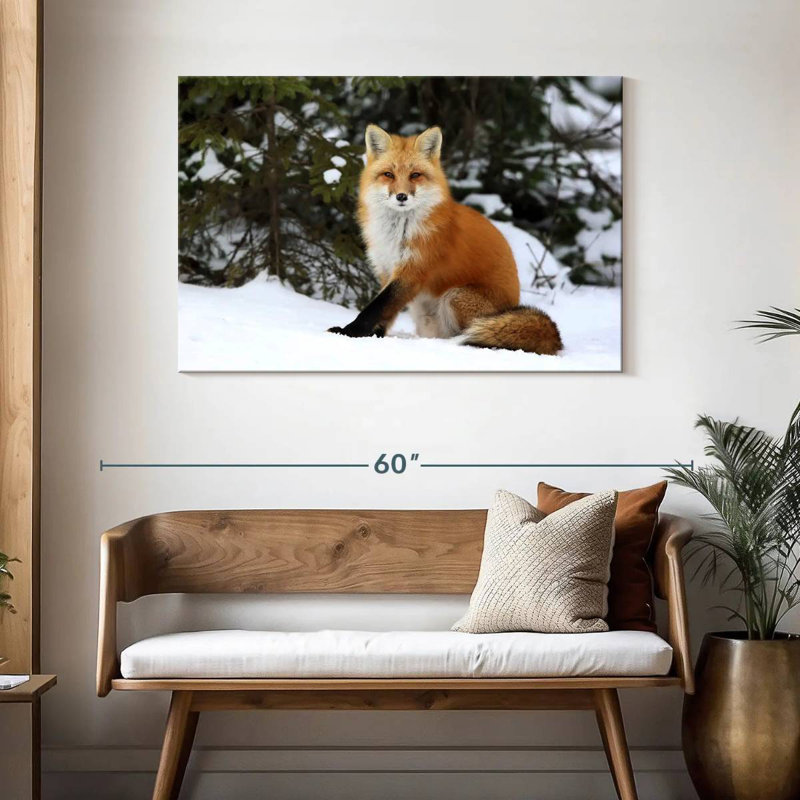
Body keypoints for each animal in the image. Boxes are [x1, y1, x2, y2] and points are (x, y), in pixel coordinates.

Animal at [327, 124, 562, 355]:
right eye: (388, 174)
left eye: (415, 175)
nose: (401, 196)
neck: (398, 231)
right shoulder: (386, 269)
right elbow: (386, 310)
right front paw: (374, 336)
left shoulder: (413, 270)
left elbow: (375, 308)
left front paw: (348, 332)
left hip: (455, 296)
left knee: (470, 333)